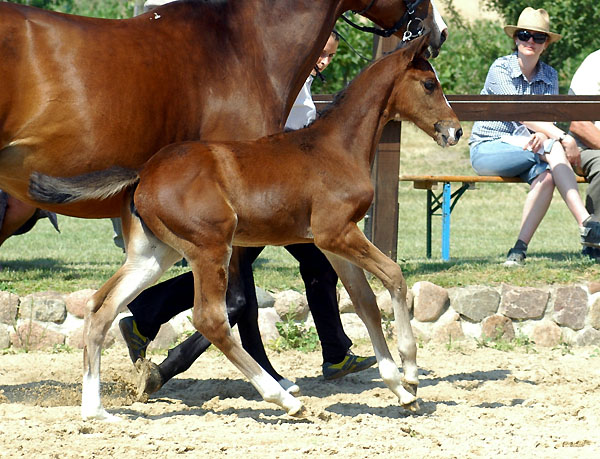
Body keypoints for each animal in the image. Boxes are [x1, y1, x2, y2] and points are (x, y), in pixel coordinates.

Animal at [30, 36, 462, 422]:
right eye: (429, 83)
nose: (454, 131)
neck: (335, 148)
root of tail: (144, 174)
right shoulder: (336, 233)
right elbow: (394, 276)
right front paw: (410, 372)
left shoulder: (333, 243)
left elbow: (365, 302)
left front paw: (401, 390)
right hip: (210, 247)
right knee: (210, 318)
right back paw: (286, 401)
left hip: (152, 255)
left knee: (101, 307)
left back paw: (96, 411)